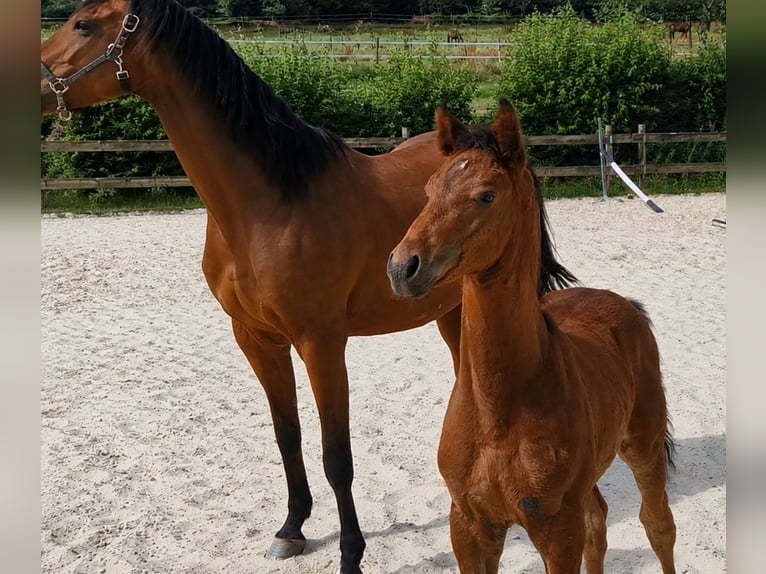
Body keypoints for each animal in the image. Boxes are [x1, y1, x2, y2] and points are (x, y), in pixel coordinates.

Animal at [40, 1, 466, 572]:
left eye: (83, 24)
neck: (268, 206)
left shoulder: (321, 342)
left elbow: (337, 457)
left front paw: (351, 553)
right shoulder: (256, 338)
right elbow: (287, 437)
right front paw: (292, 528)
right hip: (449, 310)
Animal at [387, 99, 677, 573]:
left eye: (487, 195)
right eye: (428, 190)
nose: (402, 266)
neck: (497, 413)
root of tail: (624, 304)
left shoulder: (556, 529)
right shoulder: (469, 524)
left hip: (643, 444)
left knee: (658, 525)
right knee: (599, 522)